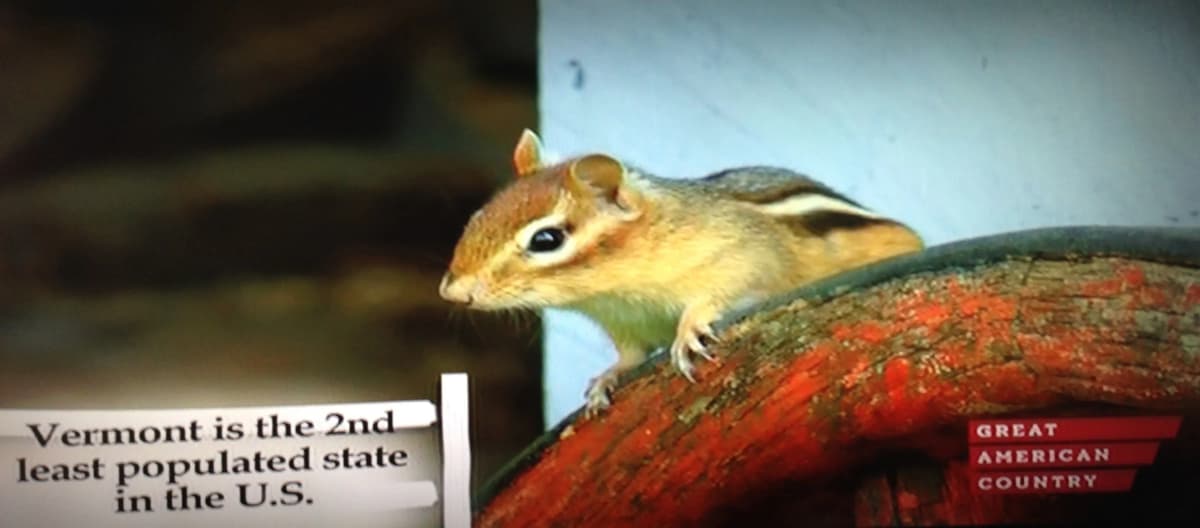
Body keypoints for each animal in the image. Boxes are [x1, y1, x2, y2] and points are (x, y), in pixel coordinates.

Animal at [439, 130, 924, 416]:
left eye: (546, 239)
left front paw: (689, 330)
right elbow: (630, 356)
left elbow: (728, 292)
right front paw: (606, 380)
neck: (614, 290)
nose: (453, 293)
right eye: (480, 215)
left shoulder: (741, 256)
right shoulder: (623, 324)